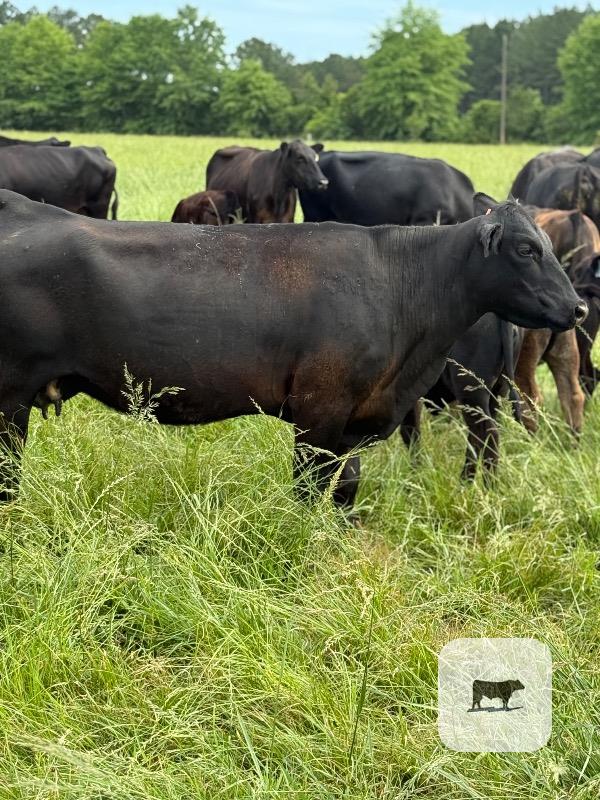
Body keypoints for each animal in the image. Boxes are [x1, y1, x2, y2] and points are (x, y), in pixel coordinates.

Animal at [0, 190, 585, 509]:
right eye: (527, 248)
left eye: (548, 245)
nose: (578, 308)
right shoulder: (318, 411)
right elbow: (306, 491)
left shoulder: (353, 421)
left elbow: (347, 487)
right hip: (10, 397)